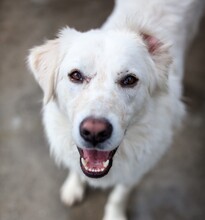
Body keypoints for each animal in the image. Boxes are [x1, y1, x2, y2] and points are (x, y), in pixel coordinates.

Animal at [27, 0, 205, 219]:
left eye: (129, 80)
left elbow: (119, 195)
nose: (94, 132)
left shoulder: (137, 168)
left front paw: (114, 215)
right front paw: (73, 187)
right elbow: (76, 167)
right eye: (76, 75)